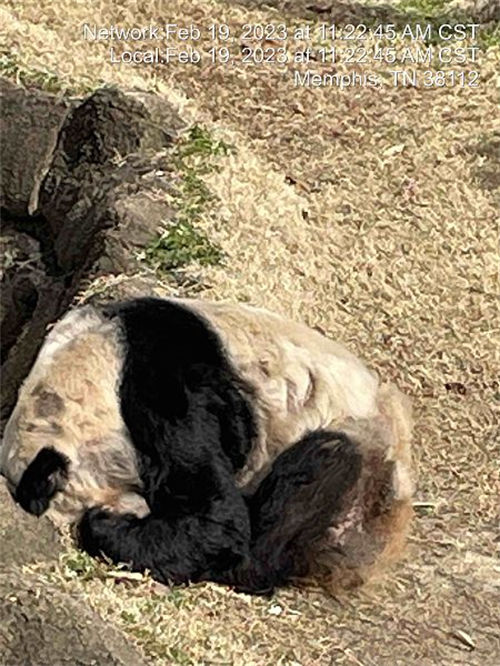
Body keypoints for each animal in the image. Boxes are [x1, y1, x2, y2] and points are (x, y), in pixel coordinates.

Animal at [0, 297, 414, 595]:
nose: (138, 516)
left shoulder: (160, 376)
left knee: (324, 466)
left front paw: (103, 525)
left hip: (362, 458)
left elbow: (215, 517)